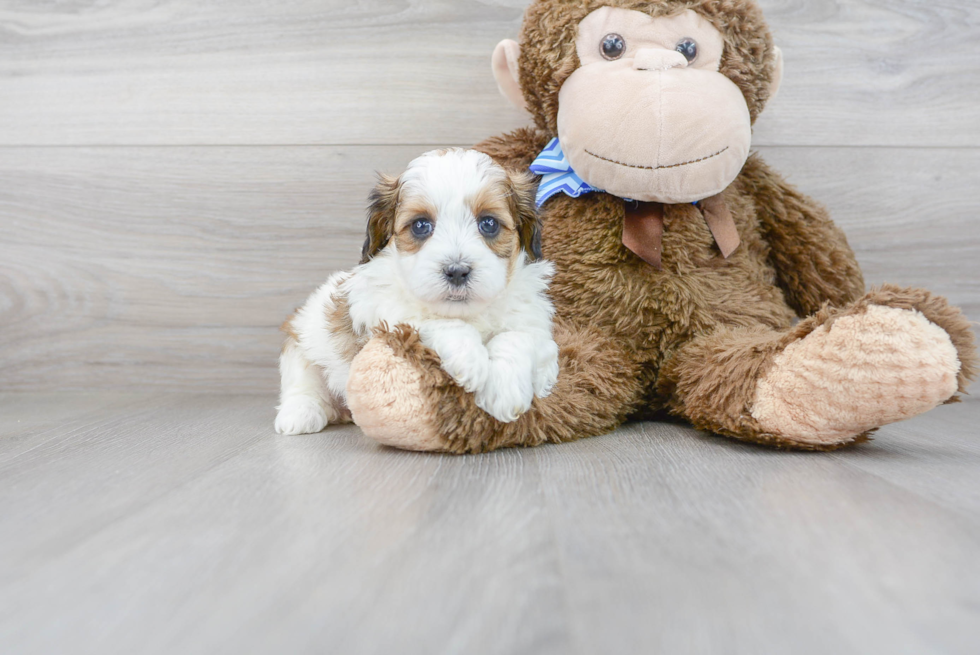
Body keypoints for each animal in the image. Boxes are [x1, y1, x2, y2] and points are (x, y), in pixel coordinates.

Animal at [276, 149, 560, 436]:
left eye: (489, 223)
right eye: (420, 226)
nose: (457, 271)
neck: (467, 312)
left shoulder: (535, 324)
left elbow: (516, 337)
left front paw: (505, 389)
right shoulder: (383, 313)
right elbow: (433, 322)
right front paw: (469, 358)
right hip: (301, 341)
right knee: (302, 382)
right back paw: (300, 413)